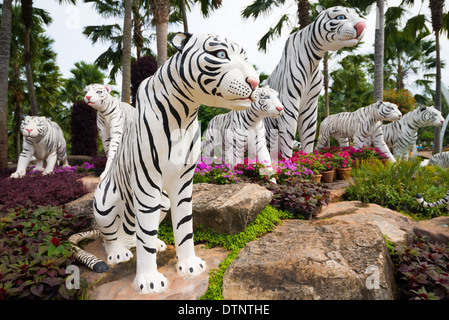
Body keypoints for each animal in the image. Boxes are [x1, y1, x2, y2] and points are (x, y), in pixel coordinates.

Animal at [88, 31, 260, 294]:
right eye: (221, 54)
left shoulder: (183, 182)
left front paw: (190, 266)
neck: (185, 113)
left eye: (245, 57)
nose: (255, 81)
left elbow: (183, 226)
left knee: (133, 234)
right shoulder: (147, 183)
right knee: (111, 237)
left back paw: (156, 244)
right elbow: (145, 235)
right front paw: (149, 282)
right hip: (105, 204)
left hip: (163, 202)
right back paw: (118, 253)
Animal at [264, 5, 366, 160]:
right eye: (340, 17)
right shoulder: (290, 100)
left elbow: (308, 132)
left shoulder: (310, 103)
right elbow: (288, 133)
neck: (314, 60)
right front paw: (288, 163)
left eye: (358, 15)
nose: (362, 26)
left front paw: (307, 159)